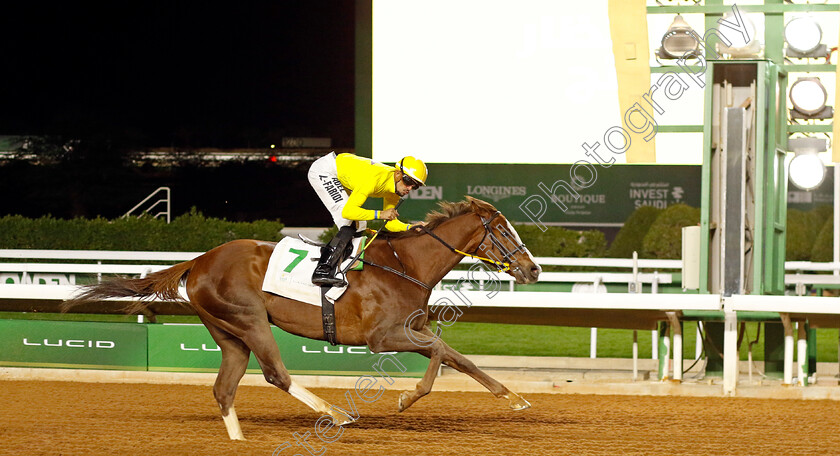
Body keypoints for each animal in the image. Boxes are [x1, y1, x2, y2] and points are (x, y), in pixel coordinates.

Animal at [62, 198, 540, 440]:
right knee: (275, 373)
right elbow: (440, 353)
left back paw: (240, 442)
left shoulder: (413, 328)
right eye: (503, 231)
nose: (533, 269)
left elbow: (460, 358)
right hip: (249, 320)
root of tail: (198, 262)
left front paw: (514, 398)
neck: (405, 265)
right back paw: (336, 414)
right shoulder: (383, 337)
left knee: (224, 388)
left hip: (229, 332)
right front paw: (407, 398)